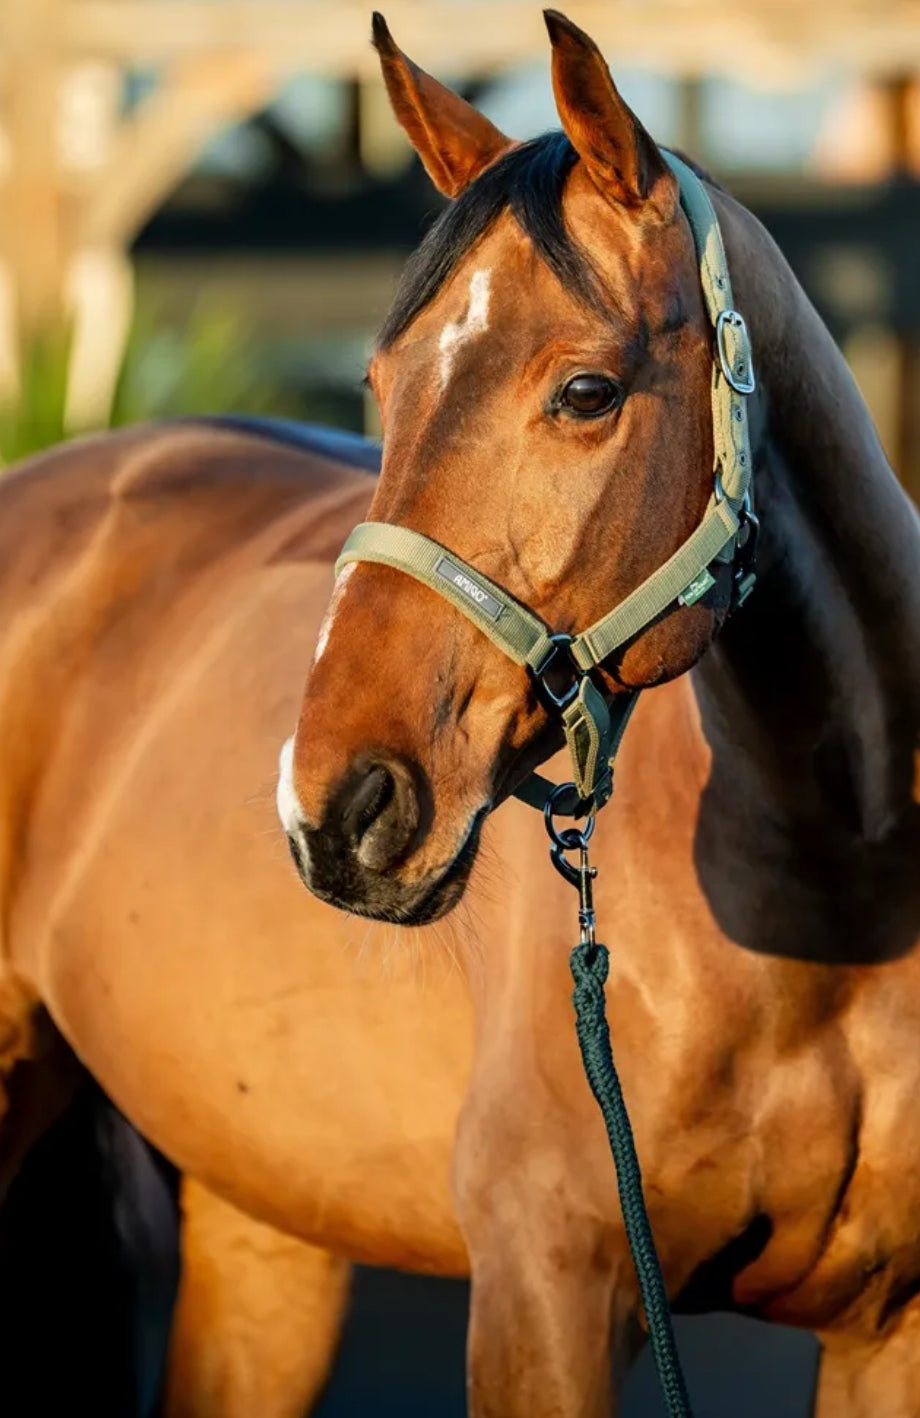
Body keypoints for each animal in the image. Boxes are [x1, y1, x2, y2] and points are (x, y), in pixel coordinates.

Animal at [0, 9, 917, 1418]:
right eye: (381, 382)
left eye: (587, 392)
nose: (332, 807)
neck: (835, 892)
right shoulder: (542, 1290)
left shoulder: (885, 1325)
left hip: (265, 1224)